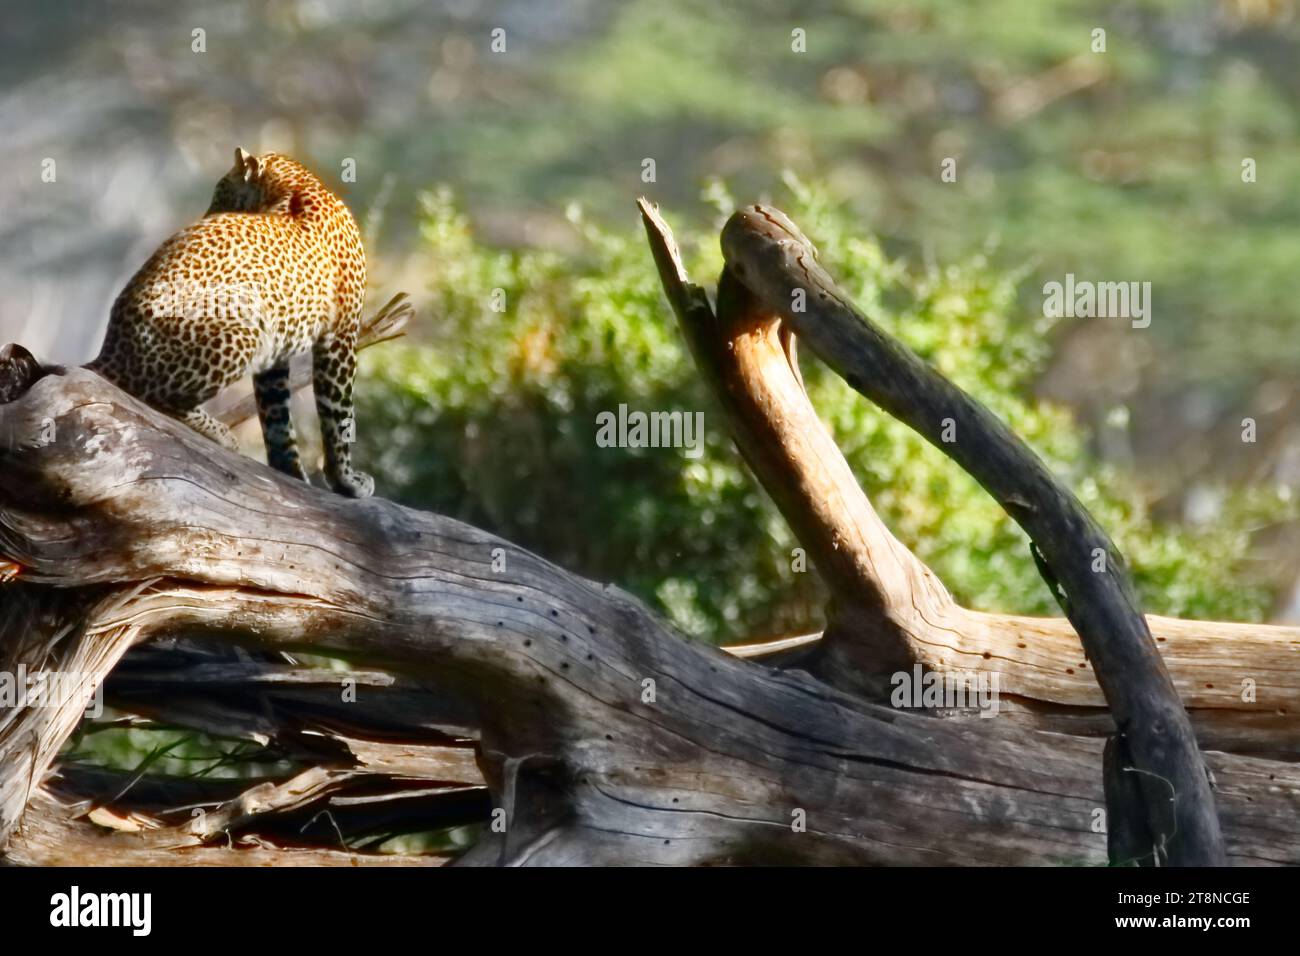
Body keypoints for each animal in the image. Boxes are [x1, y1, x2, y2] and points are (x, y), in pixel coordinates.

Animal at [88, 147, 374, 502]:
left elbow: (278, 418)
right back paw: (220, 433)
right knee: (152, 397)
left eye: (219, 191)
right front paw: (347, 481)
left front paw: (293, 475)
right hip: (245, 329)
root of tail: (109, 352)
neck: (294, 186)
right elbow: (339, 417)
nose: (207, 214)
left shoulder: (279, 352)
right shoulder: (340, 337)